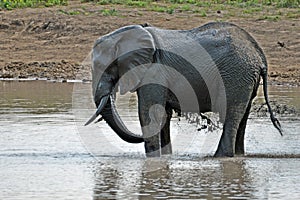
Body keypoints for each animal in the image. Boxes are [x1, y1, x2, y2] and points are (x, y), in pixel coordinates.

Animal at [85, 21, 282, 156]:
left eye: (102, 66)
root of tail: (259, 54)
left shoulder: (154, 70)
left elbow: (149, 112)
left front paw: (152, 159)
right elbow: (163, 114)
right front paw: (164, 158)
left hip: (236, 74)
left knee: (231, 114)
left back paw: (220, 157)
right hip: (246, 78)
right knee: (242, 117)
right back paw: (238, 156)